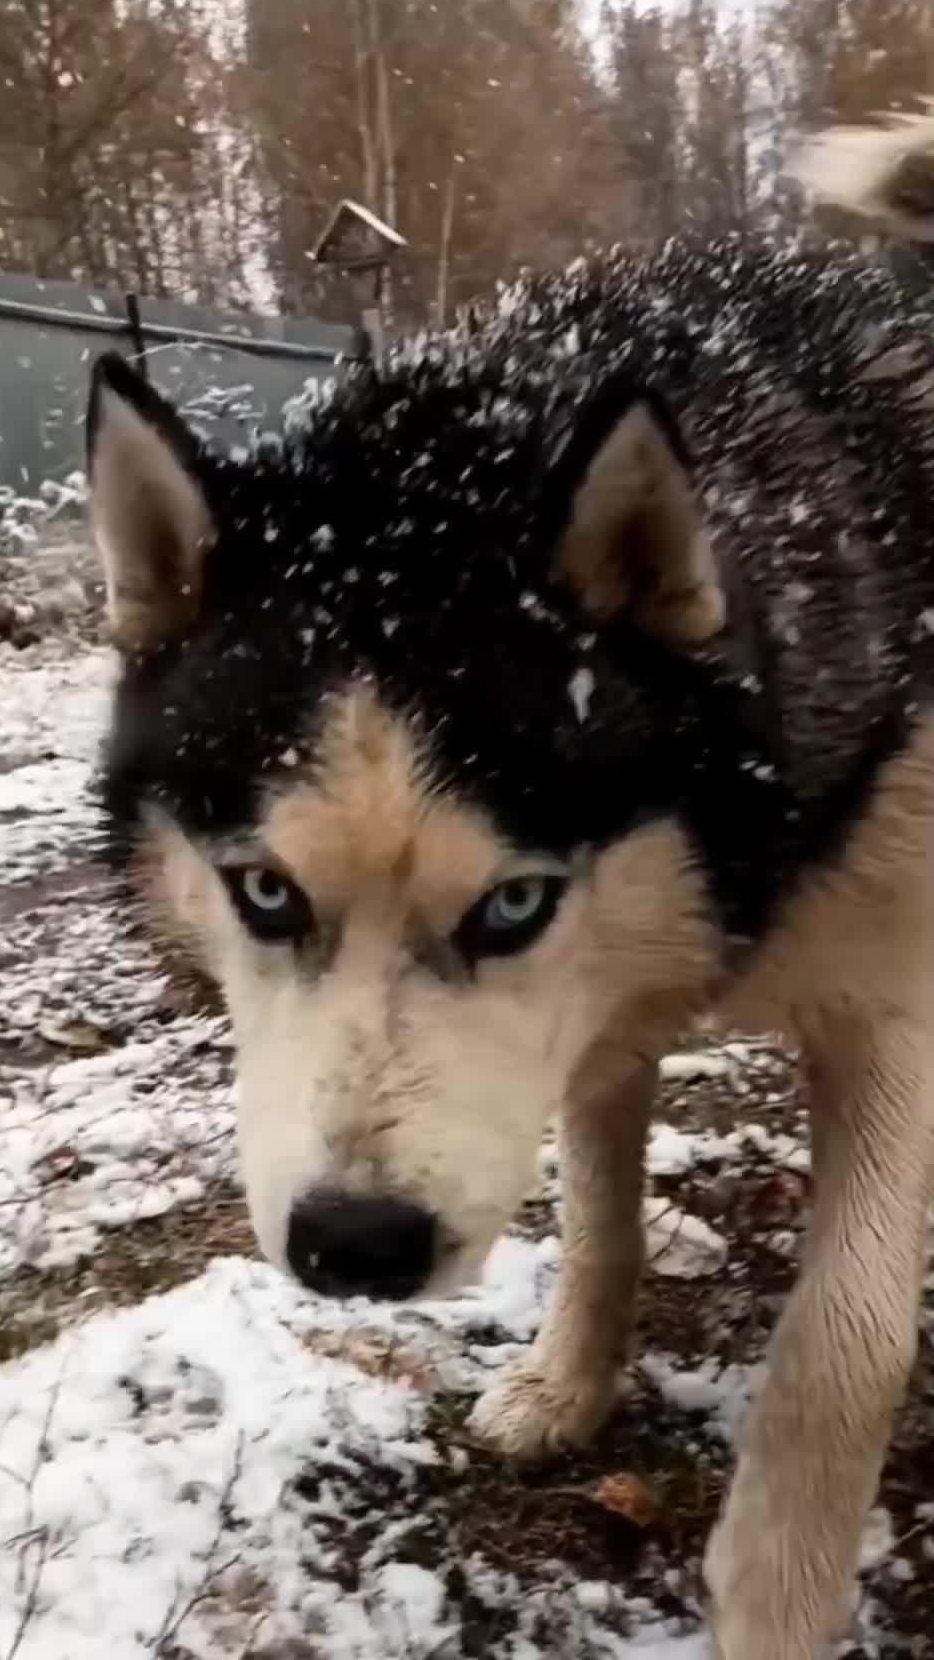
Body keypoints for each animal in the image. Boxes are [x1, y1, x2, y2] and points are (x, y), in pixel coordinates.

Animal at [89, 120, 934, 1660]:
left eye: (512, 905)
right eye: (263, 892)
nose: (354, 1247)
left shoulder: (889, 1002)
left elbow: (842, 1345)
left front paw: (774, 1596)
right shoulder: (597, 1013)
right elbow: (598, 1218)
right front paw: (567, 1388)